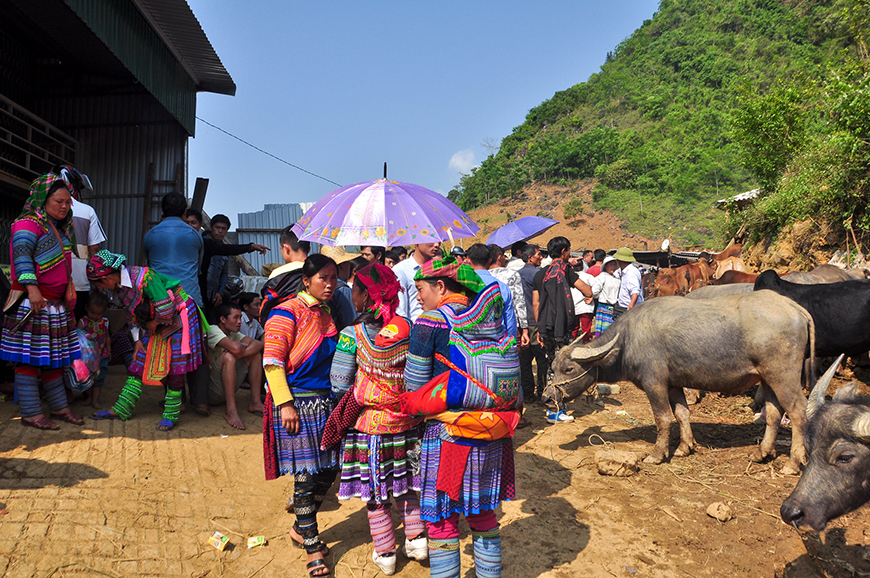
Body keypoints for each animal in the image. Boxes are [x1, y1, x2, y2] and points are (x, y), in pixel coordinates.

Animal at [544, 290, 816, 470]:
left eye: (569, 368)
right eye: (553, 367)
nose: (547, 397)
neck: (627, 341)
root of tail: (794, 308)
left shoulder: (654, 383)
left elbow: (663, 417)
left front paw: (657, 454)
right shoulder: (674, 384)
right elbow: (682, 413)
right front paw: (686, 447)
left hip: (784, 376)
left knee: (798, 412)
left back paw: (793, 463)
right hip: (767, 378)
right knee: (773, 413)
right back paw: (762, 453)